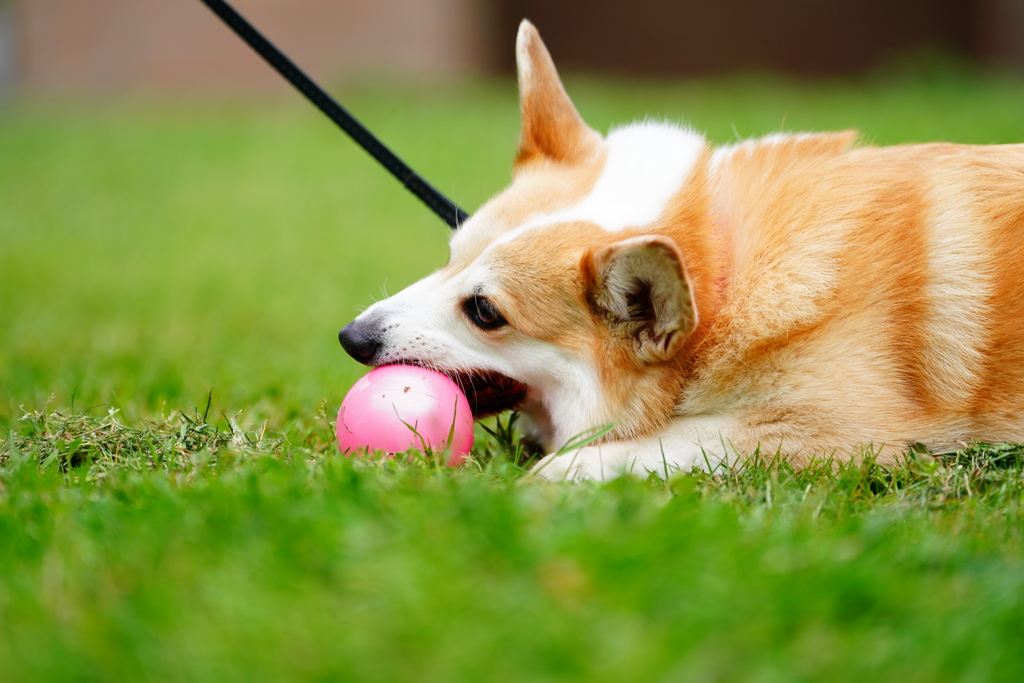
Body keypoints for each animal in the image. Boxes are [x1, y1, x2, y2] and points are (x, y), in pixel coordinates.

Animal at [339, 20, 1024, 481]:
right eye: (449, 256)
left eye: (485, 312)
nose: (352, 338)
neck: (724, 276)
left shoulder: (843, 430)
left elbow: (672, 439)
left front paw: (556, 475)